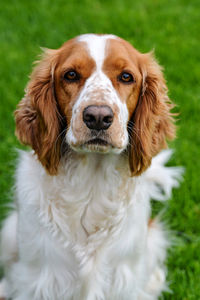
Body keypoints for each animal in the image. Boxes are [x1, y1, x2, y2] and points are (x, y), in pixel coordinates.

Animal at [0, 34, 183, 298]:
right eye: (71, 75)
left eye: (126, 76)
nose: (98, 117)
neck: (91, 182)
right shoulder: (37, 279)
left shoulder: (123, 278)